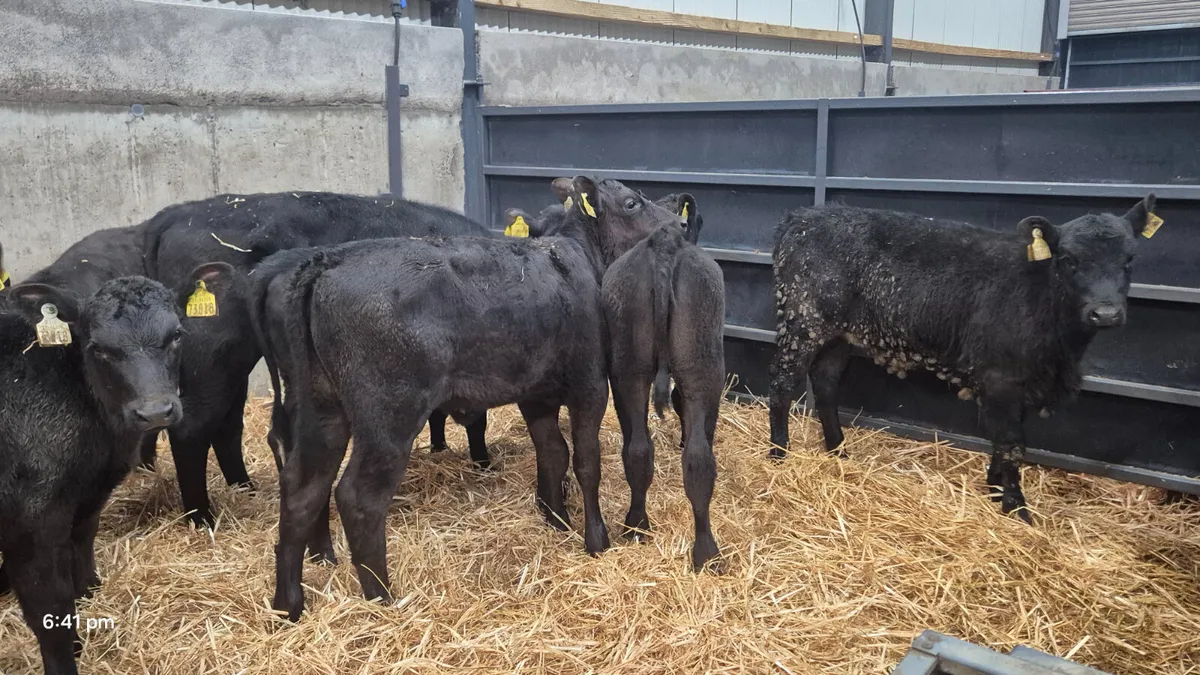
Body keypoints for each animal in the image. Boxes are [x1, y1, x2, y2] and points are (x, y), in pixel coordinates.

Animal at [0, 264, 232, 675]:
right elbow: (50, 608)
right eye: (99, 348)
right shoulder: (29, 520)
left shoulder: (86, 502)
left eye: (176, 334)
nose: (155, 412)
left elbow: (82, 561)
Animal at [257, 177, 682, 620]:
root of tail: (323, 262)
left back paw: (288, 605)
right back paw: (383, 598)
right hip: (389, 414)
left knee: (302, 489)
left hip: (322, 406)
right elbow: (586, 462)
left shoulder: (536, 393)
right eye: (632, 202)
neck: (579, 261)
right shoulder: (589, 384)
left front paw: (557, 521)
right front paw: (596, 540)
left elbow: (553, 453)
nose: (679, 224)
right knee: (357, 497)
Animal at [600, 194, 727, 572]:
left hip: (628, 369)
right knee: (699, 459)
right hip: (703, 368)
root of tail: (664, 244)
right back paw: (707, 552)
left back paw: (636, 525)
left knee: (638, 449)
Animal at [767, 197, 1160, 523]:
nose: (1105, 313)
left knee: (826, 382)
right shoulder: (1000, 376)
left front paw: (995, 487)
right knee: (782, 383)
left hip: (839, 333)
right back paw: (778, 452)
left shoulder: (1018, 380)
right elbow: (1011, 441)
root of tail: (801, 217)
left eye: (1129, 259)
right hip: (805, 319)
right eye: (1069, 260)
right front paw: (1015, 507)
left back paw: (838, 451)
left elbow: (1007, 438)